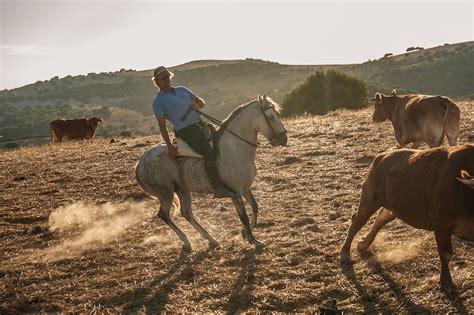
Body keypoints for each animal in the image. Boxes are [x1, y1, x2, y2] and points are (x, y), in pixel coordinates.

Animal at [135, 94, 286, 252]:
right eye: (271, 116)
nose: (284, 139)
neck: (235, 148)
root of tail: (140, 162)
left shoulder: (245, 188)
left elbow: (255, 207)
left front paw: (245, 233)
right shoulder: (235, 192)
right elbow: (243, 216)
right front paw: (254, 241)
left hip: (182, 190)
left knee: (186, 213)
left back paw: (211, 239)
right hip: (166, 193)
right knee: (164, 215)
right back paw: (186, 242)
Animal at [340, 144, 474, 292]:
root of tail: (383, 155)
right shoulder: (441, 226)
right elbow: (445, 254)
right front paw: (446, 282)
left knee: (382, 217)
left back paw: (363, 244)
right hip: (369, 199)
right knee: (357, 222)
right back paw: (345, 253)